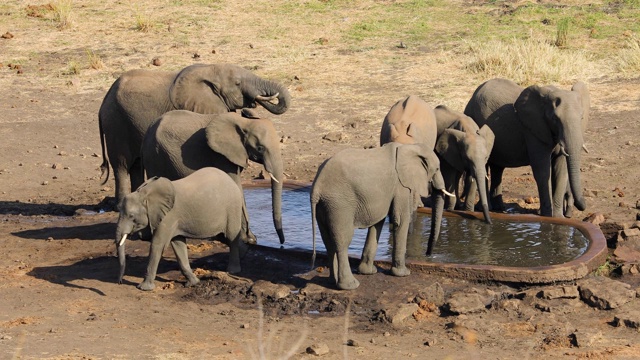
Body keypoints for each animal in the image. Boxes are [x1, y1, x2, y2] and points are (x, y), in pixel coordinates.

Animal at [98, 62, 292, 205]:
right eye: (237, 84)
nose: (250, 108)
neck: (210, 70)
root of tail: (104, 101)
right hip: (116, 124)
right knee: (122, 165)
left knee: (136, 165)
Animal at [115, 167, 245, 292]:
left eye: (131, 216)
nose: (120, 282)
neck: (145, 193)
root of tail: (230, 179)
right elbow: (178, 244)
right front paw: (193, 283)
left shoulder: (168, 216)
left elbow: (157, 244)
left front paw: (143, 288)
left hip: (233, 207)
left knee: (232, 237)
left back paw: (232, 271)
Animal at [145, 110, 288, 245]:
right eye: (260, 148)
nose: (282, 242)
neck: (244, 122)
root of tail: (150, 127)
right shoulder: (220, 155)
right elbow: (236, 187)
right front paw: (247, 239)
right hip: (156, 154)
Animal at [308, 142, 448, 292]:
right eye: (437, 168)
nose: (429, 255)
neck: (409, 147)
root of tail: (316, 186)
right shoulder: (401, 186)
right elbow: (401, 220)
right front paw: (403, 274)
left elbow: (378, 223)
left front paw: (368, 272)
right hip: (339, 204)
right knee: (342, 241)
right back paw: (350, 285)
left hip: (324, 205)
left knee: (328, 242)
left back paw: (332, 282)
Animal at [460, 77, 592, 217]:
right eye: (554, 118)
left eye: (582, 117)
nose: (582, 206)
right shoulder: (533, 130)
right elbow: (542, 170)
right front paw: (547, 214)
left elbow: (560, 171)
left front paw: (558, 217)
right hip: (474, 120)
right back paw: (485, 208)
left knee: (498, 167)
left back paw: (499, 208)